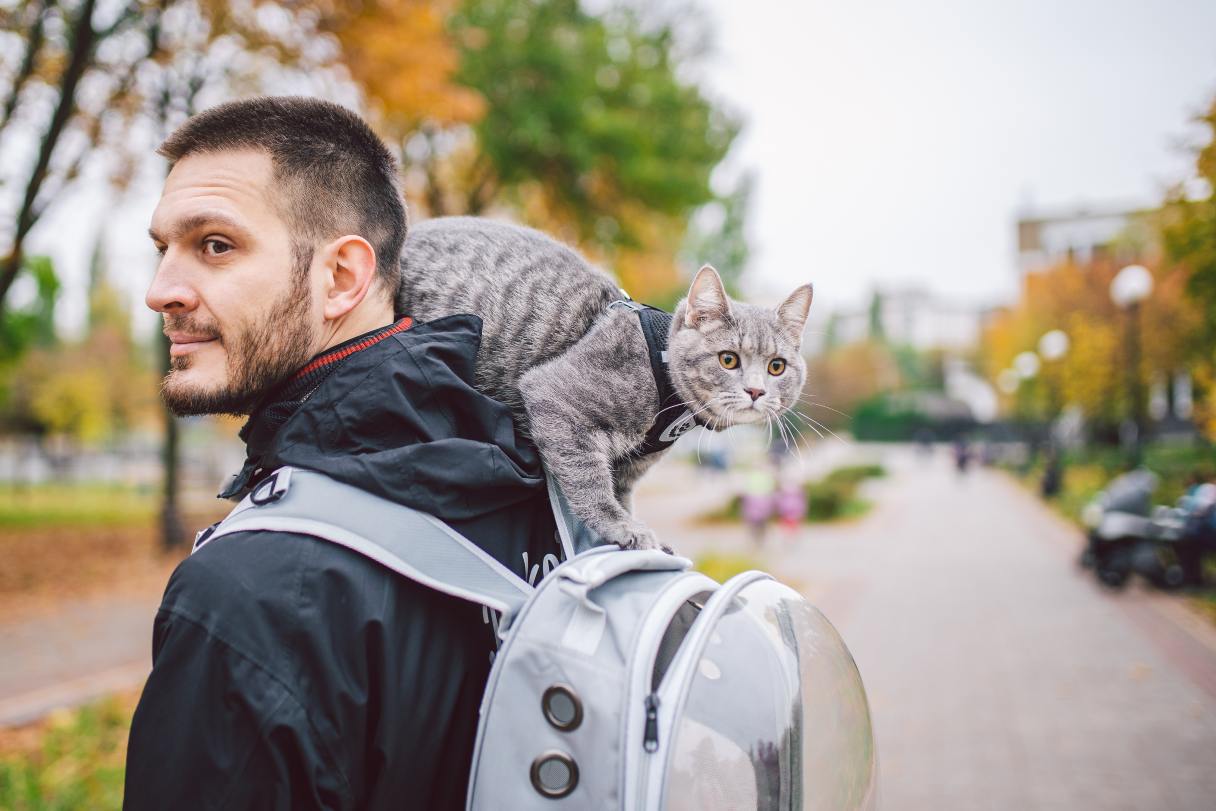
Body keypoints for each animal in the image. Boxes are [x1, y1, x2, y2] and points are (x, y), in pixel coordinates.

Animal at [401, 215, 817, 552]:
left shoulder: (632, 465)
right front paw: (620, 527)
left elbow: (621, 493)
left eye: (777, 367)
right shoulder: (554, 396)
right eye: (728, 359)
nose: (756, 391)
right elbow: (590, 482)